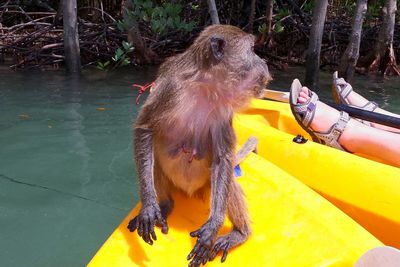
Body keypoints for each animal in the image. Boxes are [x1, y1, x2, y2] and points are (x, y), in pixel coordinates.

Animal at [128, 24, 272, 266]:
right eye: (252, 49)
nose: (263, 60)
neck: (205, 85)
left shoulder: (223, 108)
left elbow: (223, 159)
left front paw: (213, 227)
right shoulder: (171, 89)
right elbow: (145, 129)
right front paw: (148, 207)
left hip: (206, 185)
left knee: (227, 178)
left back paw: (240, 233)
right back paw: (164, 205)